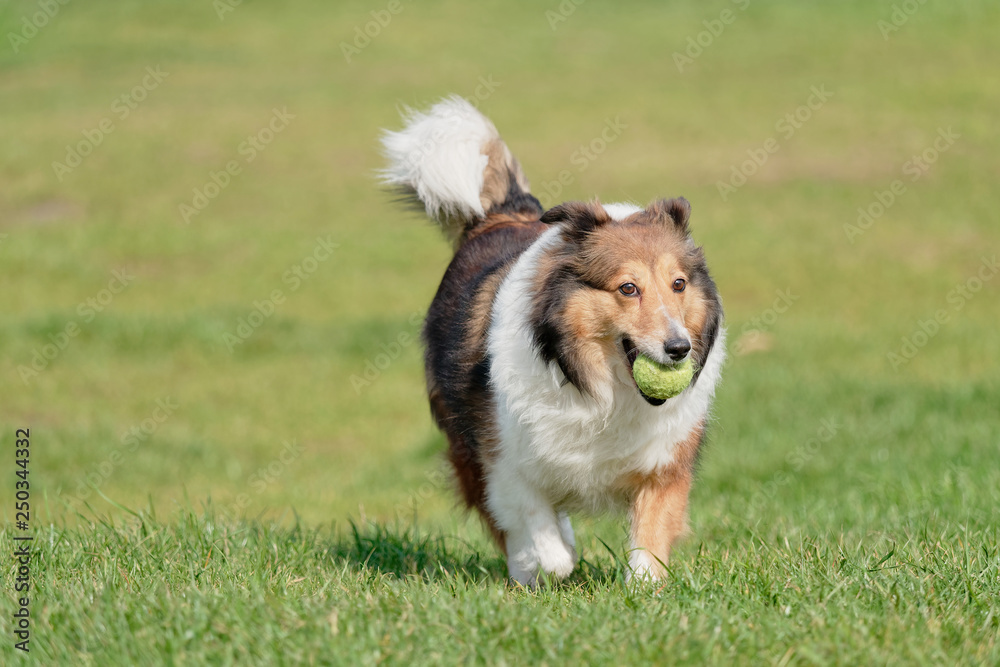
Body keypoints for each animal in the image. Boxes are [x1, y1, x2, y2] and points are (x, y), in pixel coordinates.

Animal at [382, 96, 728, 588]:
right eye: (628, 288)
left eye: (678, 284)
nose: (679, 349)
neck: (601, 387)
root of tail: (501, 215)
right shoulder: (503, 460)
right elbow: (540, 536)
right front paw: (544, 561)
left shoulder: (666, 463)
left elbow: (650, 537)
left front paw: (643, 588)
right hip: (464, 442)